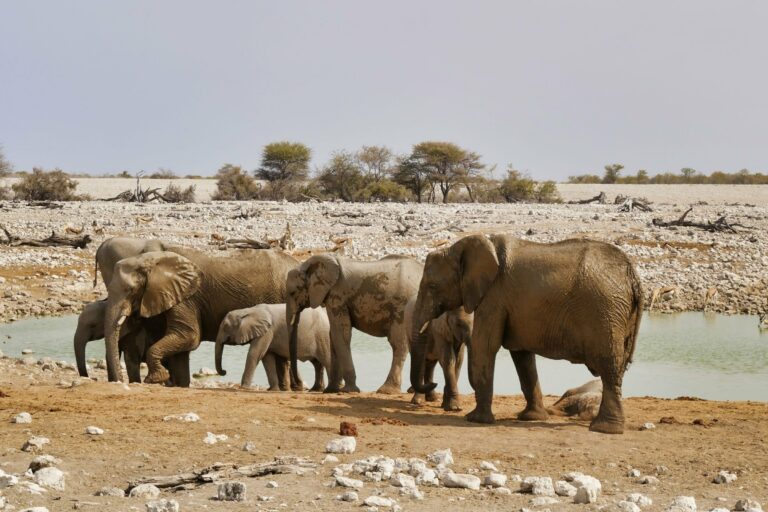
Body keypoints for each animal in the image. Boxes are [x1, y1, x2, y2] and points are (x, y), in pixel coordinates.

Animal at [103, 248, 299, 386]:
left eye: (130, 290)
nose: (120, 381)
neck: (153, 259)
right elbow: (181, 346)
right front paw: (179, 385)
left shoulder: (186, 298)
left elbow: (188, 336)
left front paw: (155, 379)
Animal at [286, 254, 423, 394]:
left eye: (292, 293)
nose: (301, 387)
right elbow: (333, 336)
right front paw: (331, 390)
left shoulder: (338, 297)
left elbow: (340, 334)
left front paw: (348, 390)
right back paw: (413, 390)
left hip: (402, 307)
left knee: (398, 344)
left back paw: (386, 390)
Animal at [410, 234, 643, 434]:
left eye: (432, 286)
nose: (433, 384)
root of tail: (633, 277)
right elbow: (522, 356)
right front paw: (531, 417)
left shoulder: (494, 296)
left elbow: (486, 345)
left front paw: (475, 419)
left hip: (606, 313)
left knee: (609, 367)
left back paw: (604, 429)